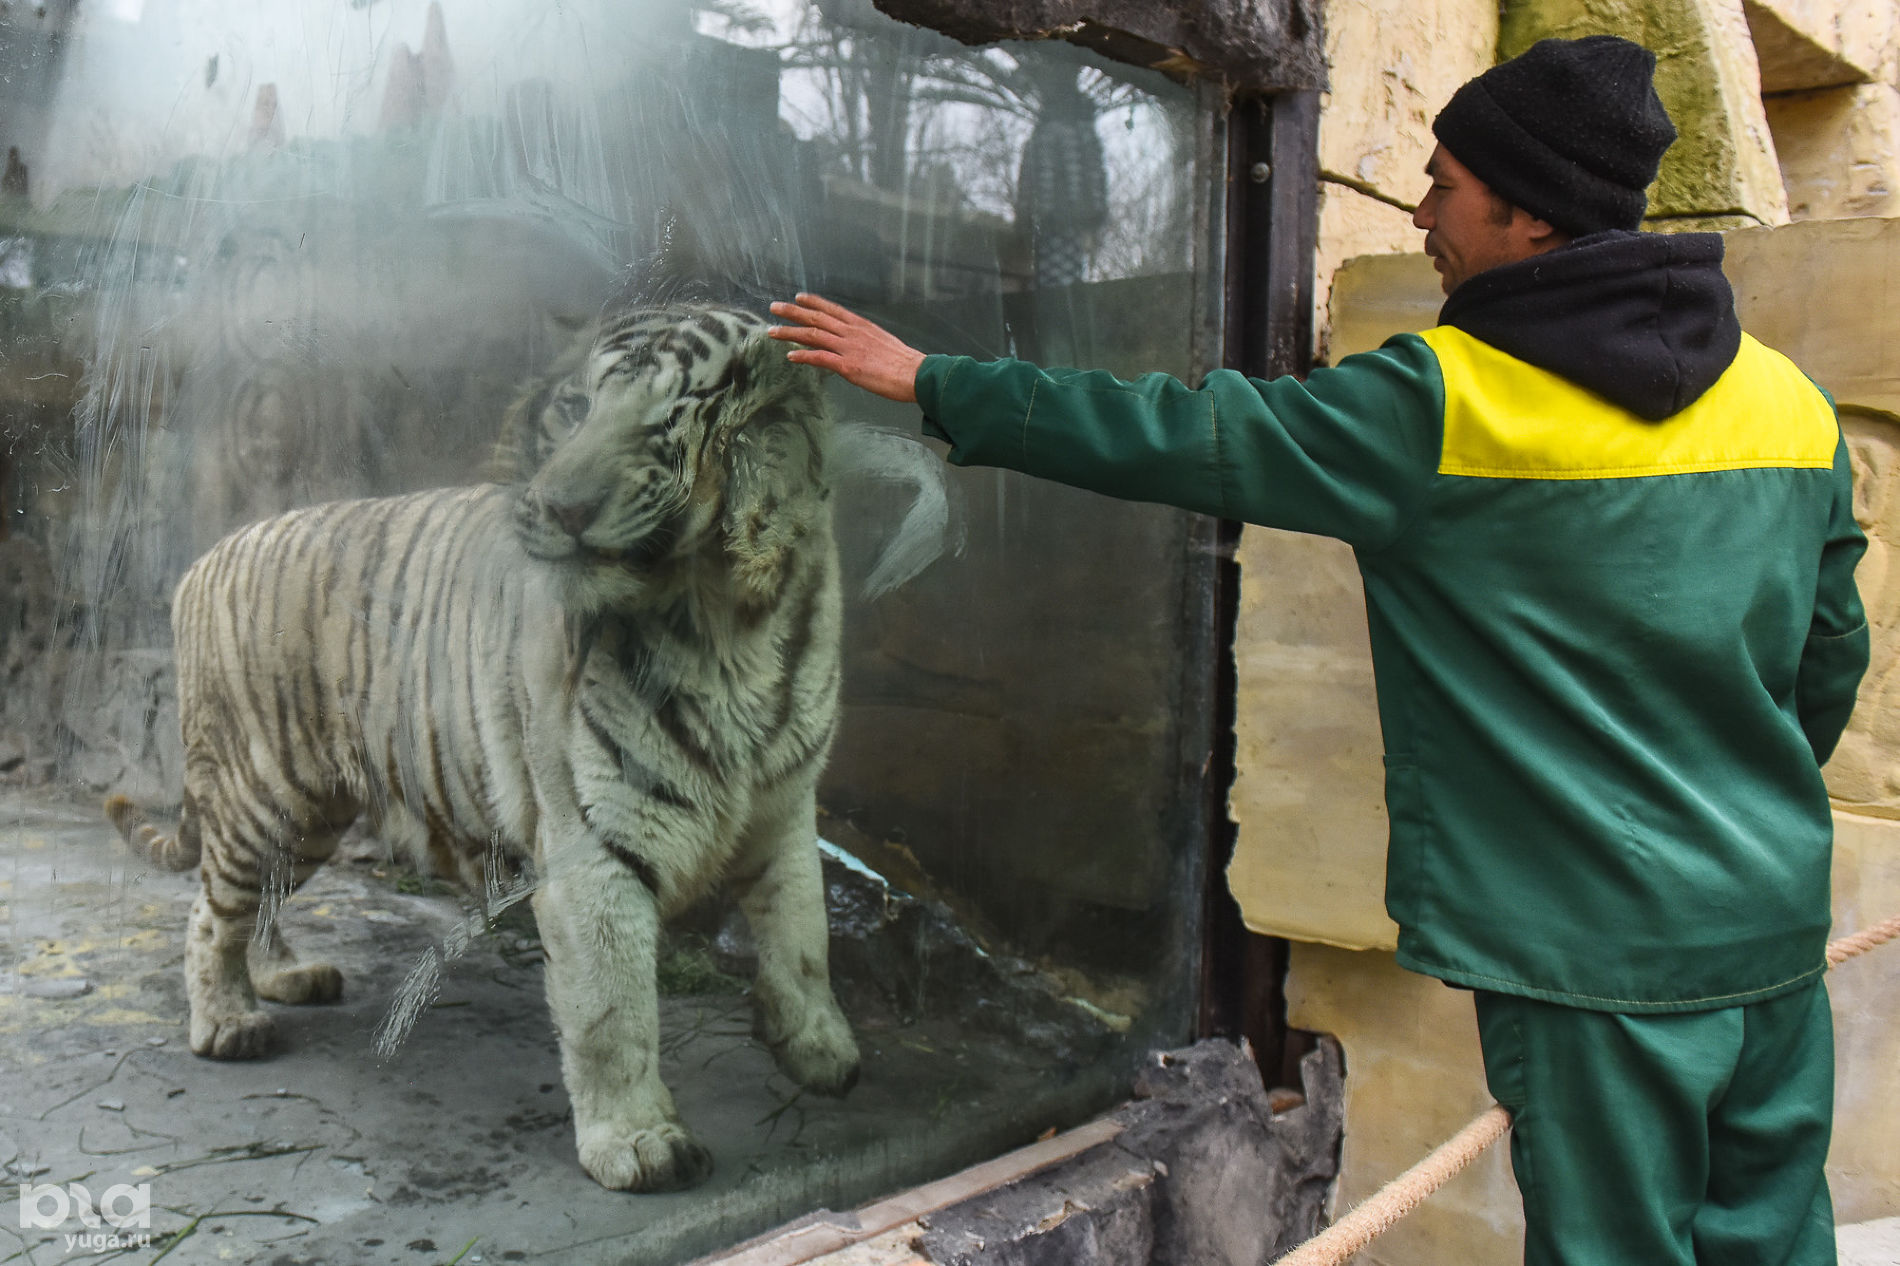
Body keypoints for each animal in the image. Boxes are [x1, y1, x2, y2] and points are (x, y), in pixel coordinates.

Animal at [107, 300, 866, 1186]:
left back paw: (285, 977)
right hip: (265, 792)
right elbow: (613, 1012)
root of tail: (203, 559)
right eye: (576, 408)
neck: (733, 618)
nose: (561, 508)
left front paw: (821, 1050)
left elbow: (805, 936)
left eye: (669, 418)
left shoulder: (783, 809)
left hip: (309, 819)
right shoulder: (593, 851)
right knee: (208, 914)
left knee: (254, 902)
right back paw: (228, 1023)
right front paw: (639, 1142)